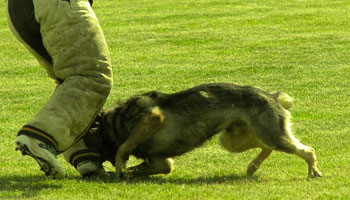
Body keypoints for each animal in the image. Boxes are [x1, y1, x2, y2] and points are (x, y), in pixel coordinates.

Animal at [82, 83, 322, 178]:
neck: (112, 122)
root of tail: (271, 95)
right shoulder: (162, 162)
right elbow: (147, 166)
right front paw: (127, 172)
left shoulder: (151, 118)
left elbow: (123, 148)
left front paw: (120, 168)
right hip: (234, 141)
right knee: (268, 147)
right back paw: (252, 166)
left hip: (270, 135)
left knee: (306, 150)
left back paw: (313, 169)